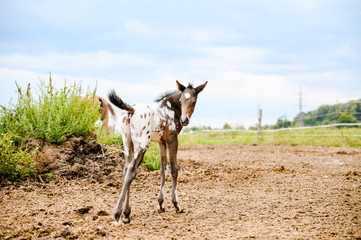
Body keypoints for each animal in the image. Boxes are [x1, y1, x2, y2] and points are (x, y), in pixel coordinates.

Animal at [108, 80, 207, 225]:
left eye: (194, 100)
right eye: (181, 100)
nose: (184, 120)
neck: (169, 109)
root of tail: (131, 110)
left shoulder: (161, 142)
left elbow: (162, 169)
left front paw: (160, 204)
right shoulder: (172, 139)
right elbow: (174, 169)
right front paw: (176, 205)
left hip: (127, 144)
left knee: (126, 170)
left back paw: (126, 214)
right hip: (142, 145)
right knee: (131, 171)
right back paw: (117, 215)